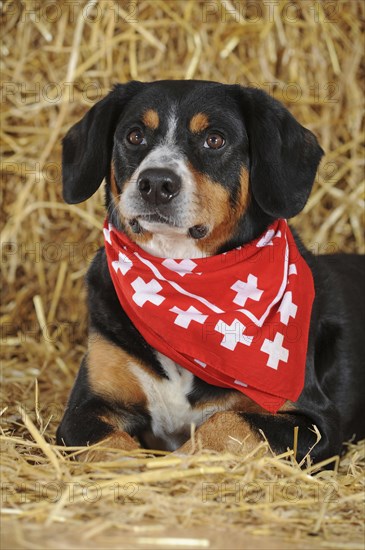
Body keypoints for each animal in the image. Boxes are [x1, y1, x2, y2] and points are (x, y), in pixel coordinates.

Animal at [55, 80, 362, 464]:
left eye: (214, 140)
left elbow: (228, 423)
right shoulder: (84, 408)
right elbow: (112, 449)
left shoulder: (316, 422)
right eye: (135, 136)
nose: (156, 183)